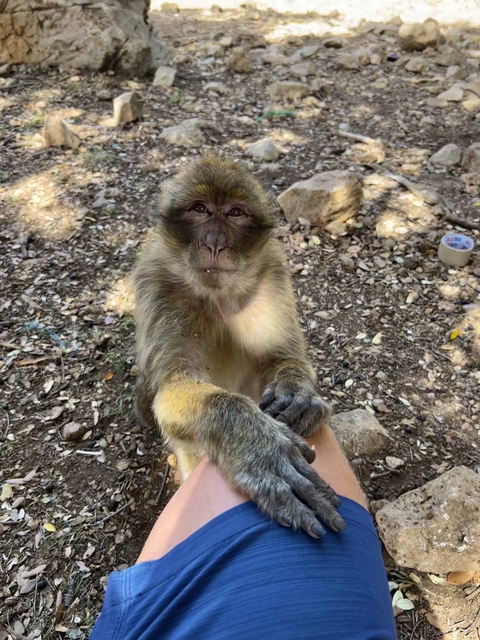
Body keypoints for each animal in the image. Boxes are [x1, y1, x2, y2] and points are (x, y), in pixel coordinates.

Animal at [133, 155, 346, 538]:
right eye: (200, 209)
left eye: (235, 213)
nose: (215, 243)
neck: (215, 295)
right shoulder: (158, 288)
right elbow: (172, 388)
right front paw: (259, 447)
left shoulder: (271, 277)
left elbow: (282, 357)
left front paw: (298, 392)